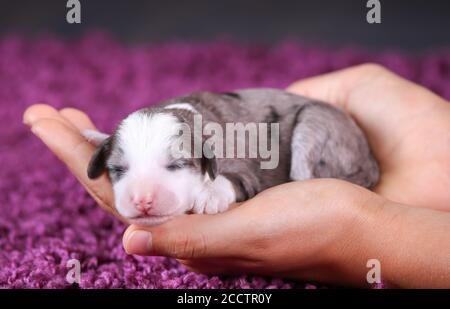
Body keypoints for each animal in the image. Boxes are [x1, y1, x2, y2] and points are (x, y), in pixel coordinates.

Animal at [84, 88, 380, 225]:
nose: (142, 200)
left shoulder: (239, 163)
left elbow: (233, 178)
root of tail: (369, 157)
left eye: (177, 165)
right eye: (118, 170)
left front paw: (209, 195)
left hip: (316, 125)